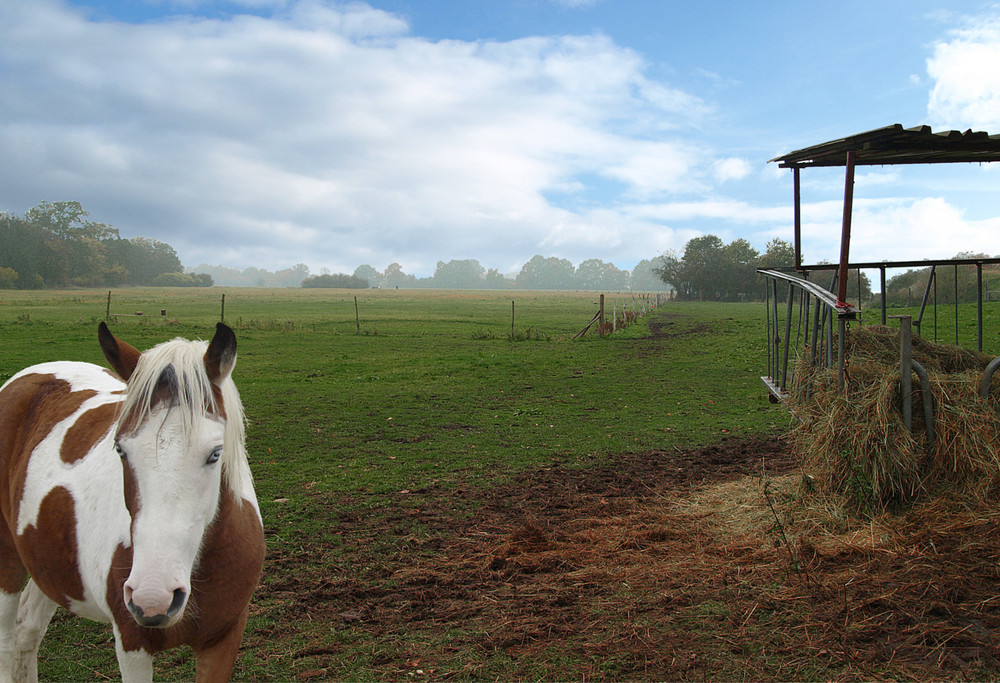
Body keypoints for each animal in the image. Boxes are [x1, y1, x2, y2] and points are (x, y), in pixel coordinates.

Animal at [0, 324, 266, 680]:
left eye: (214, 453)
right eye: (121, 450)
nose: (154, 596)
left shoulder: (224, 638)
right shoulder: (132, 643)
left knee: (27, 630)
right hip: (7, 561)